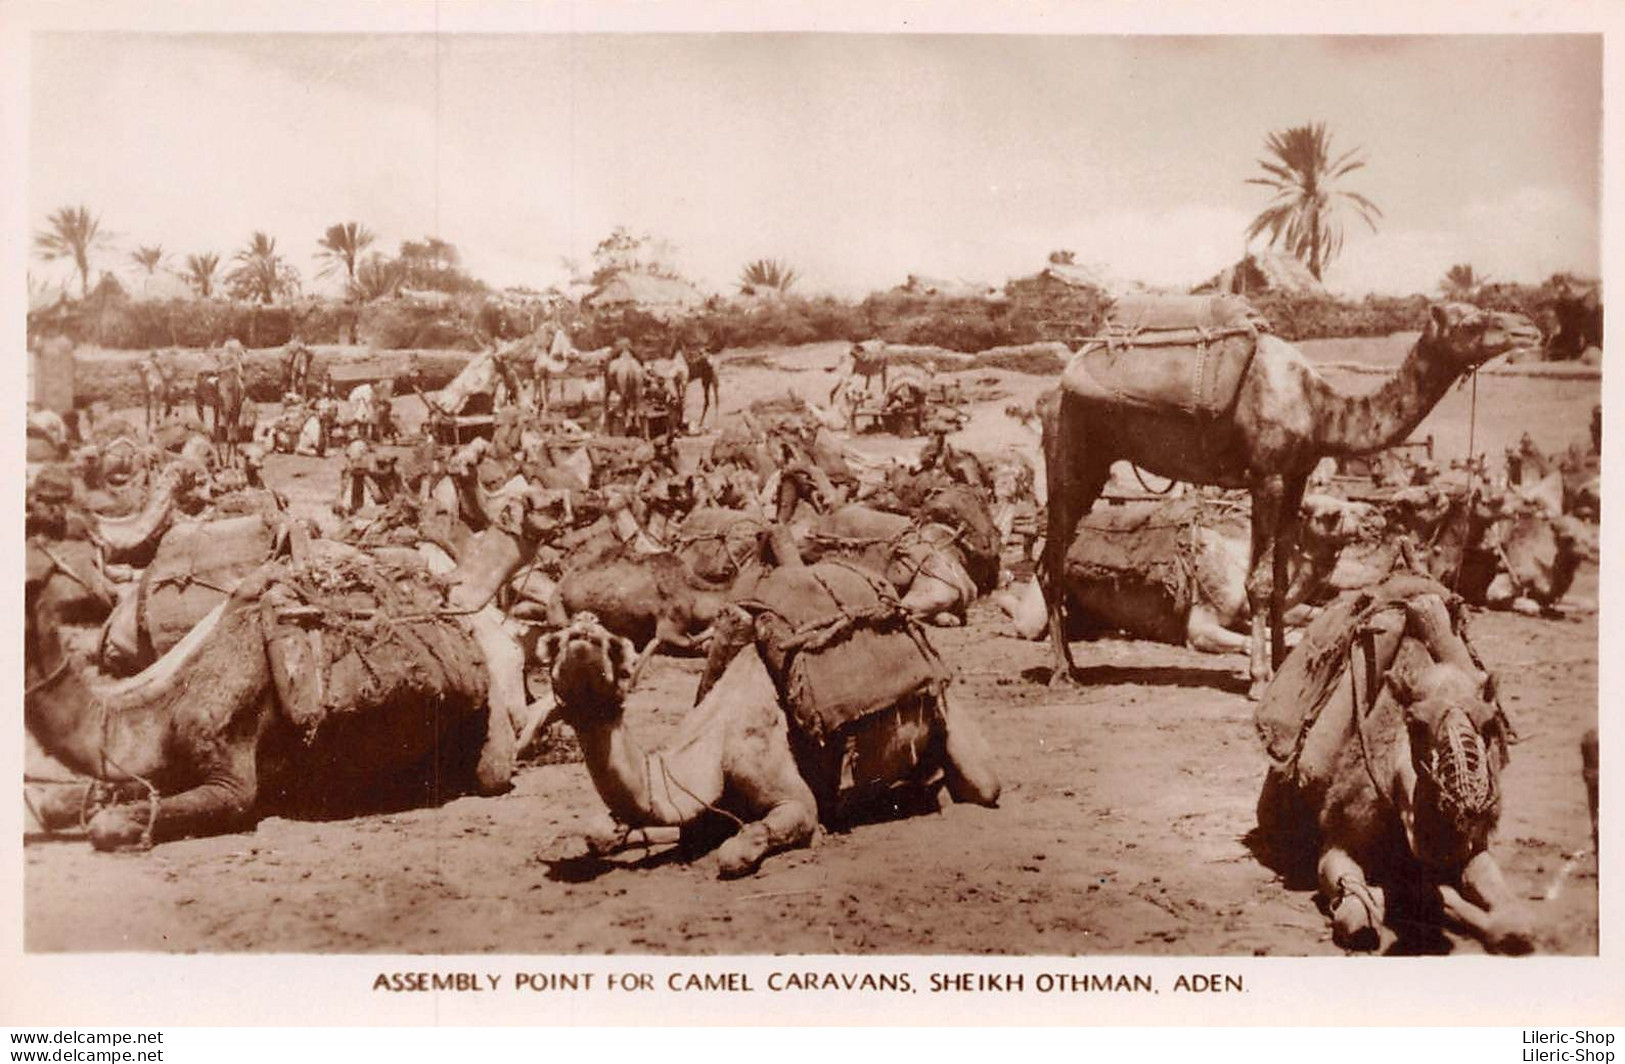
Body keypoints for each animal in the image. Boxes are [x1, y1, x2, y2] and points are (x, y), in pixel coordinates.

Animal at [529, 549, 1001, 877]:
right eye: (557, 642)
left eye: (611, 645)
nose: (582, 635)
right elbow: (606, 830)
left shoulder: (765, 771)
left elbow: (752, 841)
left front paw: (814, 833)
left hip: (950, 714)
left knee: (983, 785)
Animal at [1040, 298, 1534, 698]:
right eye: (1471, 320)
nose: (1528, 328)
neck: (1319, 409)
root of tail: (1052, 392)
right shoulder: (1267, 478)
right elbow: (1258, 583)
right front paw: (1259, 680)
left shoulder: (1296, 477)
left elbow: (1279, 582)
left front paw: (1280, 668)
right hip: (1070, 458)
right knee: (1050, 561)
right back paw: (1062, 674)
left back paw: (1072, 666)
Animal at [1254, 575, 1534, 955]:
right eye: (1414, 722)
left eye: (1491, 724)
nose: (1462, 811)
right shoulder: (1339, 842)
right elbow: (1357, 915)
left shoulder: (1475, 851)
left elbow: (1515, 923)